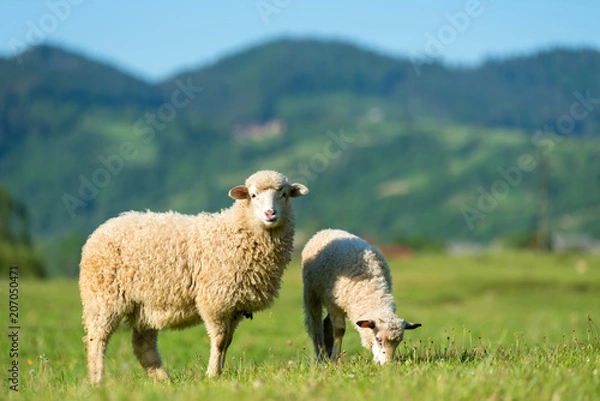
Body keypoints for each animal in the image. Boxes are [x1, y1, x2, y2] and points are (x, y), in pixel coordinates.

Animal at [79, 169, 310, 382]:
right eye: (253, 195)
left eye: (284, 194)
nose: (270, 214)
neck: (237, 230)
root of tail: (102, 229)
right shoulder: (215, 301)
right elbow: (220, 340)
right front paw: (212, 375)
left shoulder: (235, 305)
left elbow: (228, 341)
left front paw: (219, 373)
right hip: (103, 298)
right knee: (97, 339)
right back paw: (97, 380)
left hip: (145, 305)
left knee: (142, 344)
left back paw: (164, 381)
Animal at [300, 228, 422, 362]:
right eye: (379, 339)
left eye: (398, 342)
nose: (387, 364)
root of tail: (327, 230)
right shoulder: (333, 304)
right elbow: (339, 330)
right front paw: (335, 359)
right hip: (311, 292)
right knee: (315, 325)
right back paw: (321, 355)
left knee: (326, 323)